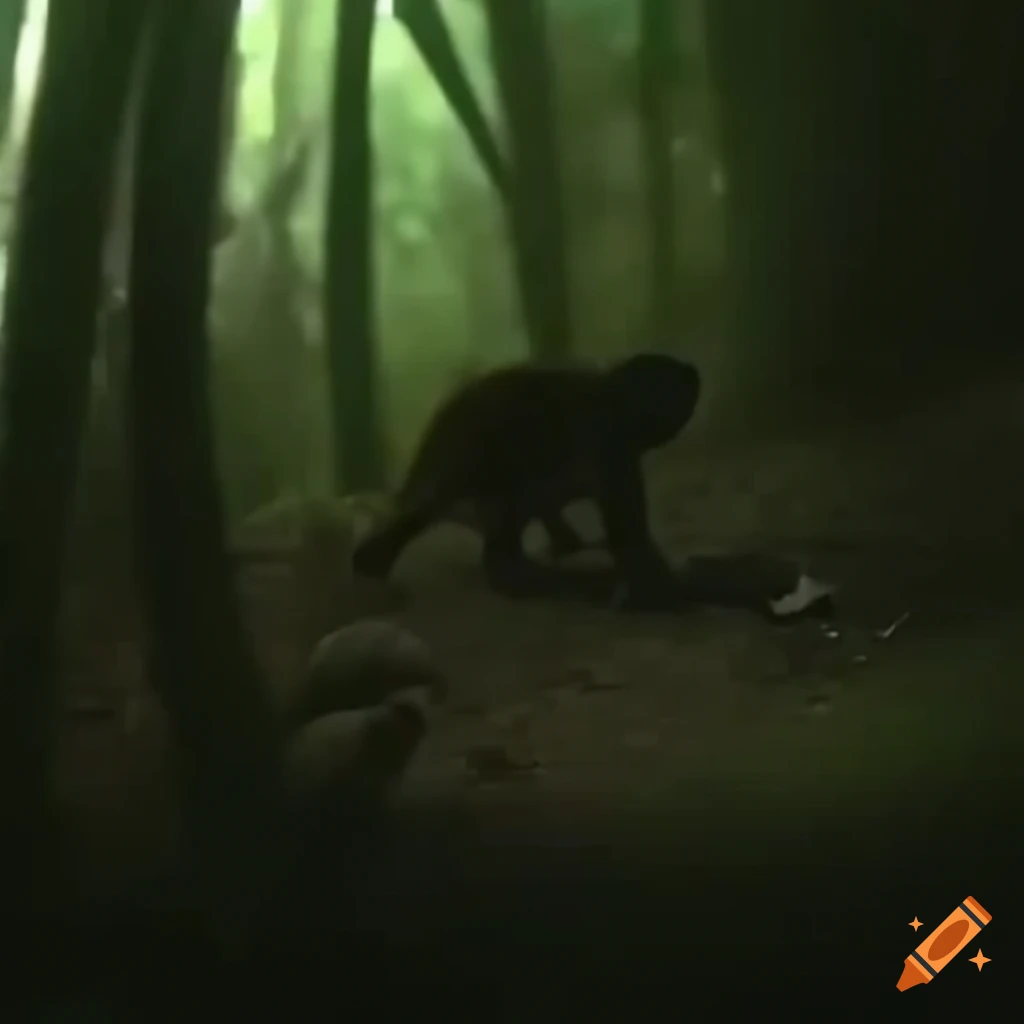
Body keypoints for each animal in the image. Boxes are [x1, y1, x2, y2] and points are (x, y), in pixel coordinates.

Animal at [352, 353, 701, 610]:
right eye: (670, 378)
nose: (693, 372)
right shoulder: (612, 449)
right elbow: (630, 534)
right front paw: (667, 589)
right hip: (474, 473)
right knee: (486, 547)